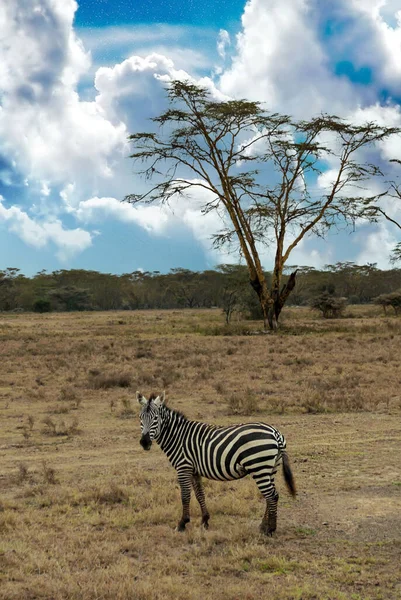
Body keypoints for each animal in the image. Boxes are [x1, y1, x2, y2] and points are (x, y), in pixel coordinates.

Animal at [138, 392, 296, 536]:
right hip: (270, 468)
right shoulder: (194, 470)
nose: (144, 442)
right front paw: (205, 521)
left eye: (156, 418)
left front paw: (182, 523)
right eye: (140, 418)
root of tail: (275, 432)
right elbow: (200, 494)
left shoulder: (183, 467)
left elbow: (185, 496)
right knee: (271, 495)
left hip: (259, 467)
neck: (178, 437)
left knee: (271, 495)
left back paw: (270, 529)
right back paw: (263, 526)